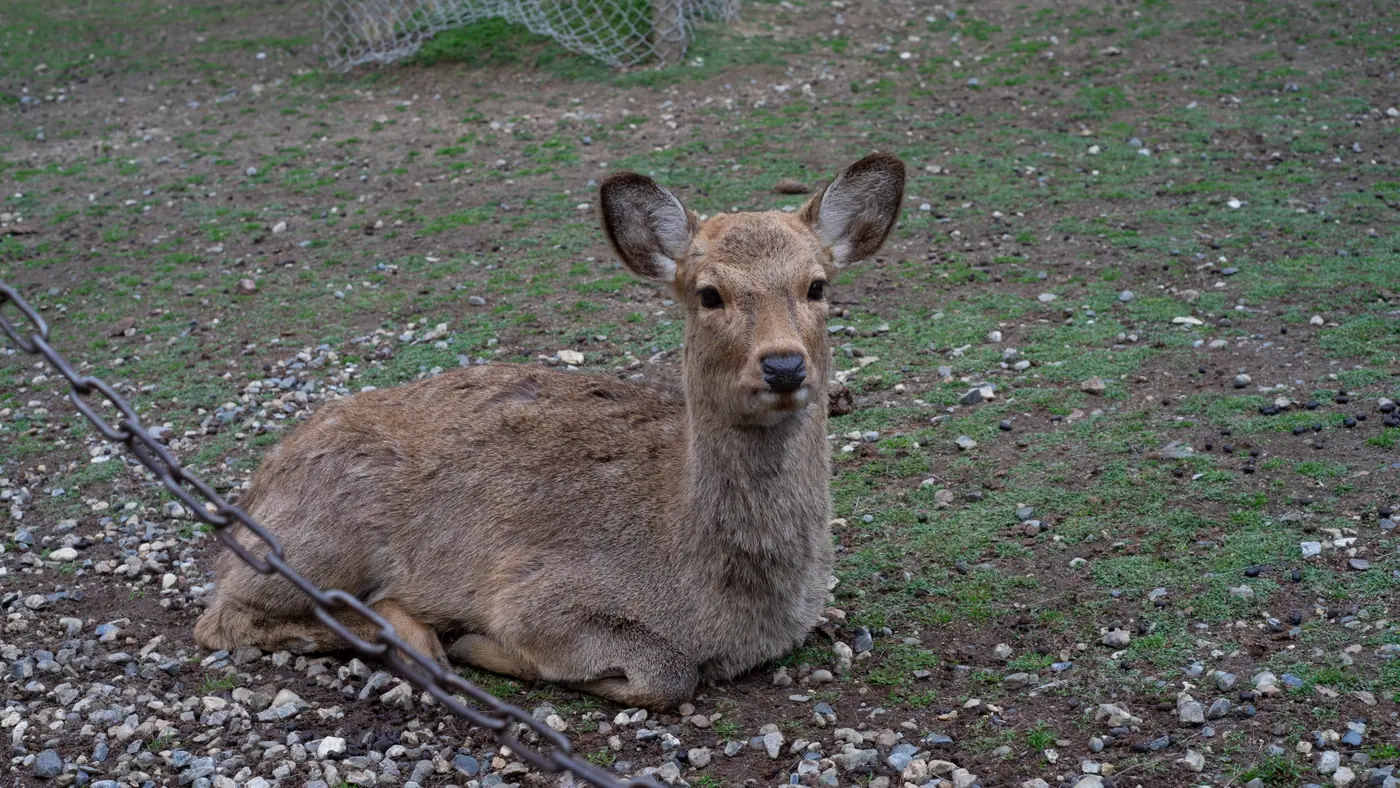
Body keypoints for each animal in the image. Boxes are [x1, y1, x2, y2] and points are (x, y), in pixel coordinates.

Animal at [193, 152, 906, 709]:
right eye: (709, 294)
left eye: (817, 286)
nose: (784, 364)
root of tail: (256, 487)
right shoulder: (536, 591)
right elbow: (665, 672)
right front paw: (484, 646)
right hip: (310, 538)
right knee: (221, 616)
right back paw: (413, 637)